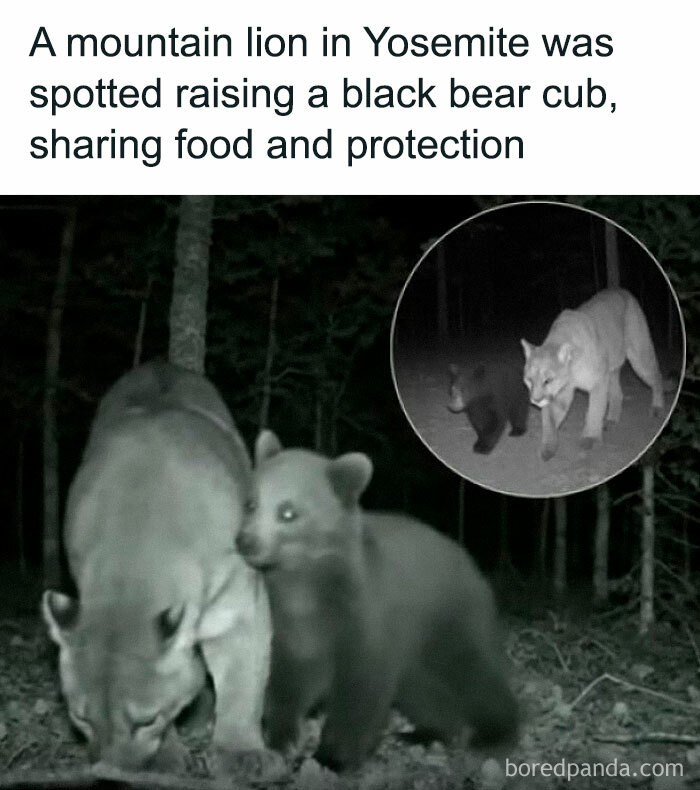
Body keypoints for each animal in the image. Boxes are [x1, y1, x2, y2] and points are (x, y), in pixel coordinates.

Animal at [235, 430, 518, 772]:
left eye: (288, 511)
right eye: (251, 502)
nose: (246, 541)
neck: (305, 582)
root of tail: (468, 561)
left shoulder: (364, 617)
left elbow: (360, 691)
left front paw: (333, 756)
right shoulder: (287, 623)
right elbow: (285, 679)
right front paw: (282, 740)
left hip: (449, 617)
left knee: (475, 672)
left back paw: (494, 733)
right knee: (422, 690)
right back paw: (425, 732)